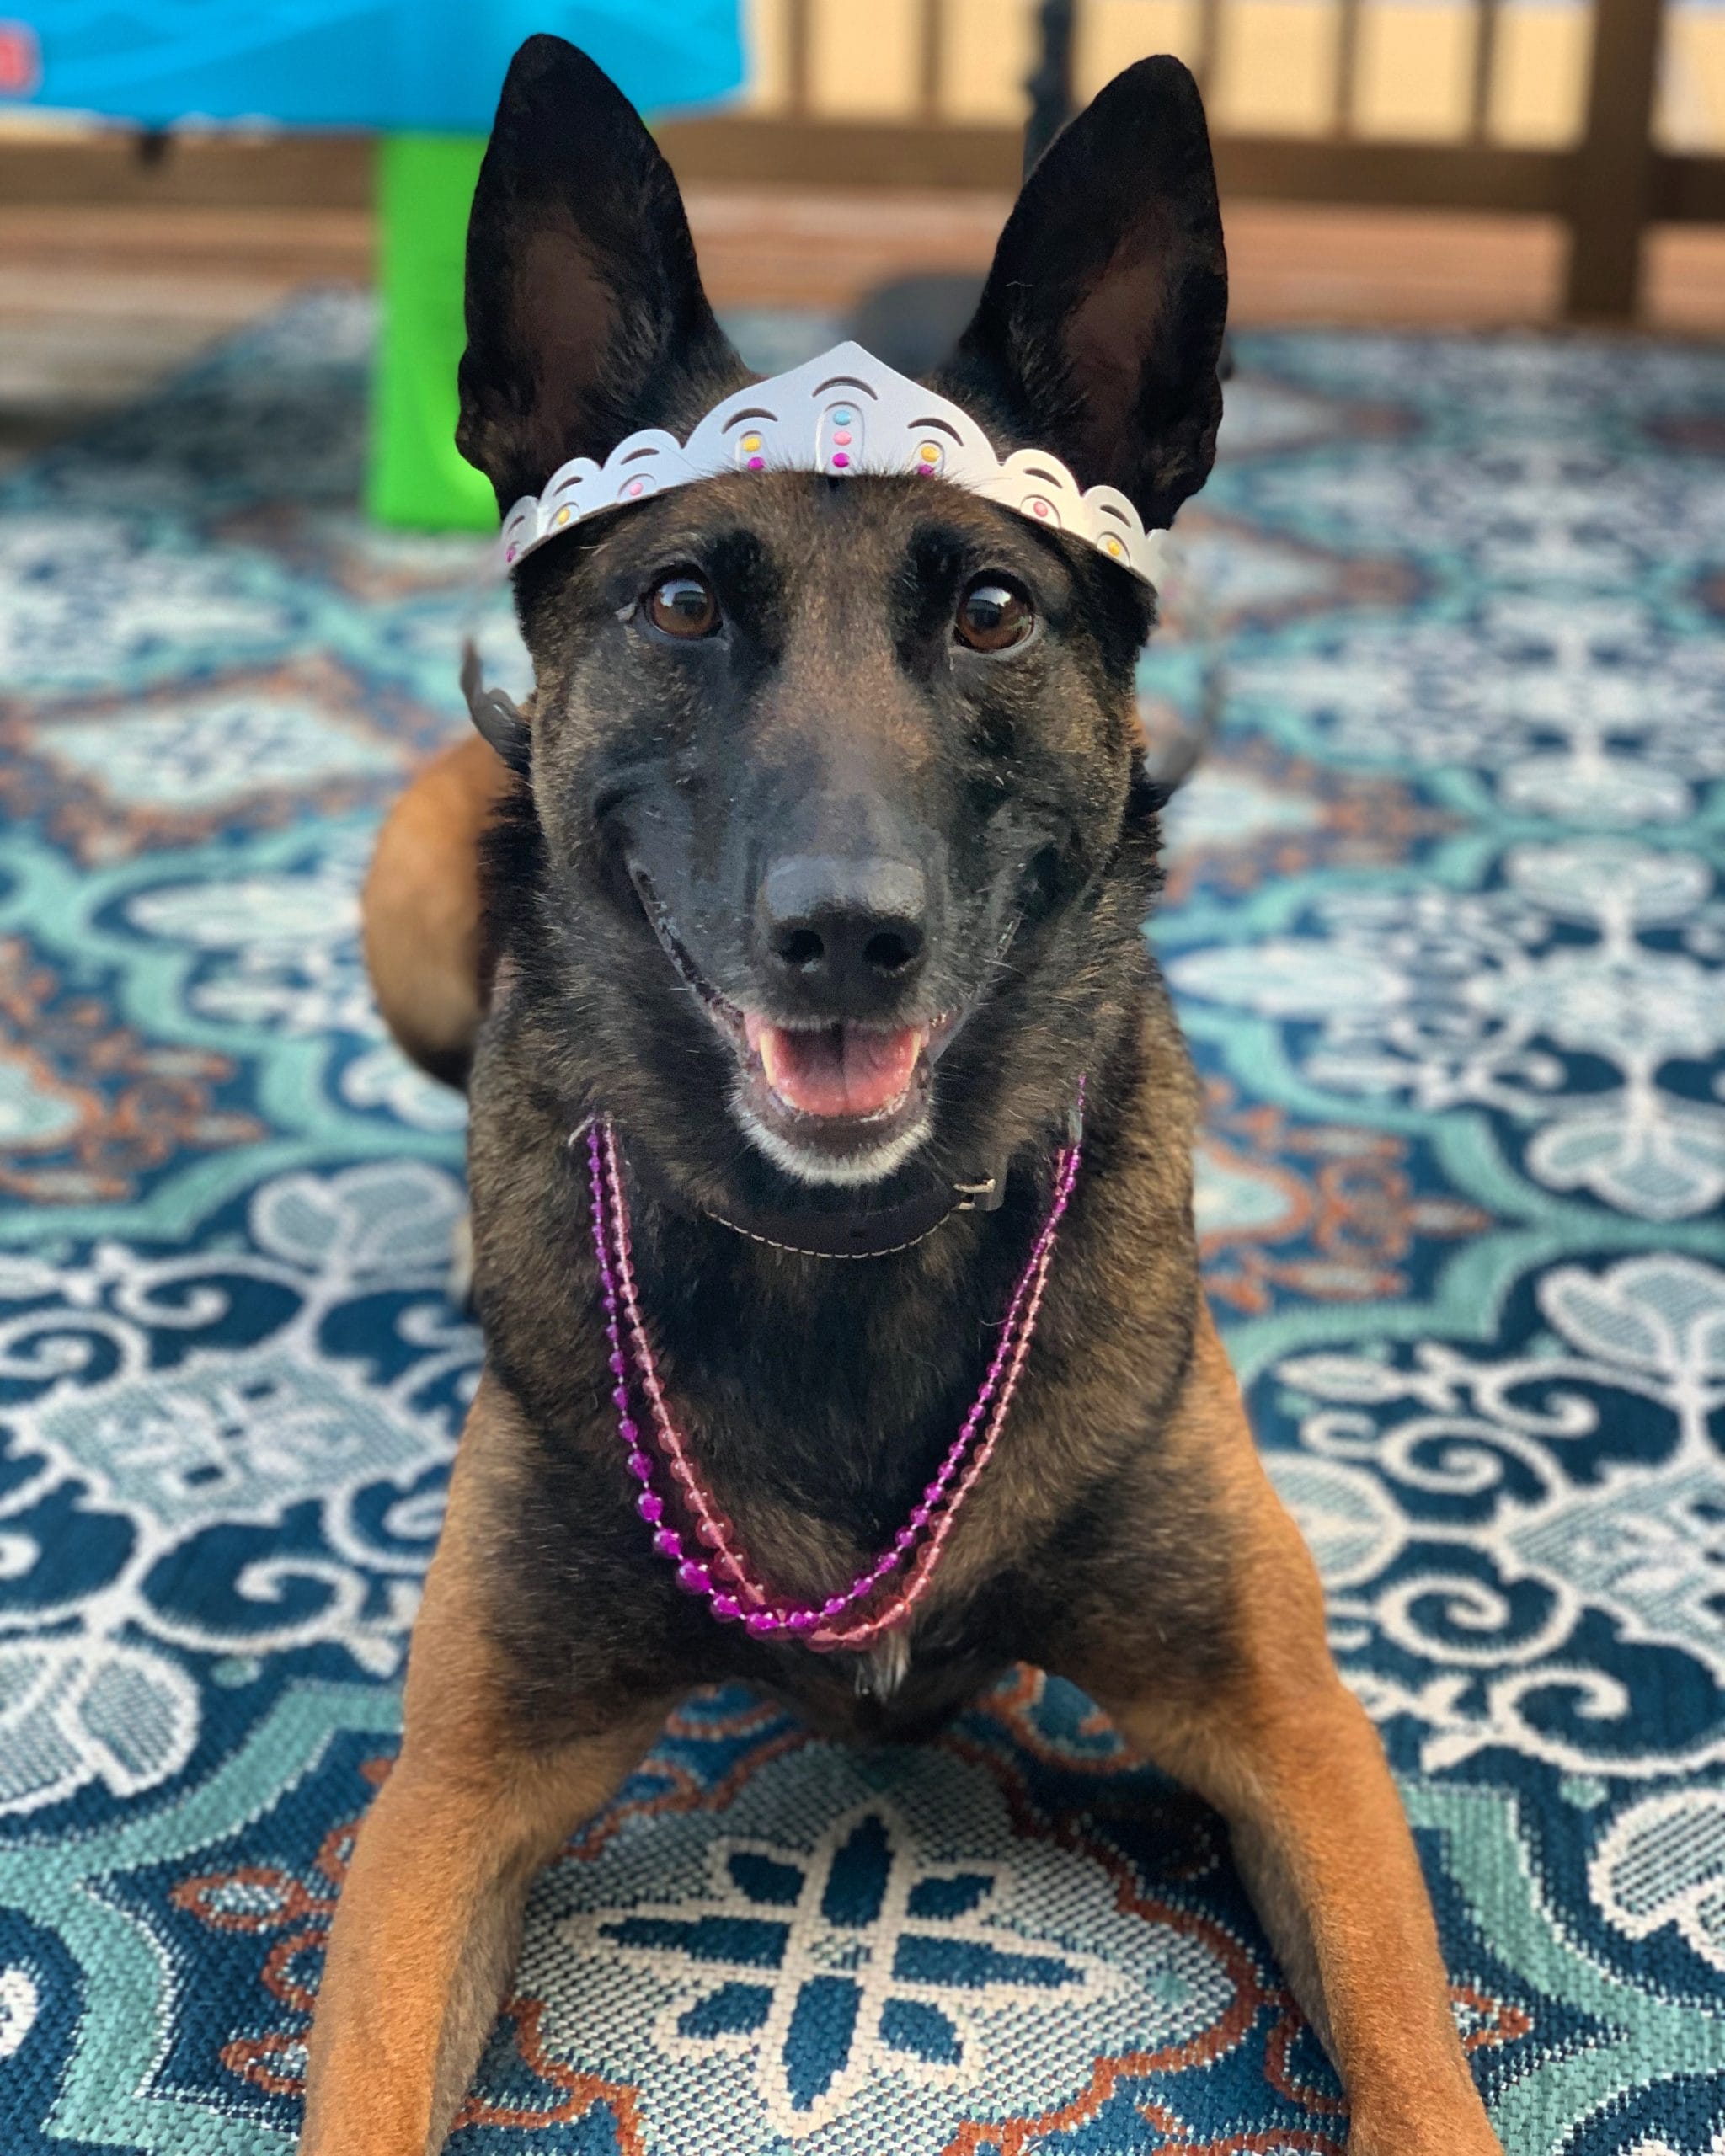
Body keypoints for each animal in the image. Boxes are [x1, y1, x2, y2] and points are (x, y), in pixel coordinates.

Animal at [301, 36, 1503, 2155]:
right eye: (682, 602)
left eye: (994, 612)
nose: (843, 935)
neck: (837, 1253)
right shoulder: (451, 1795)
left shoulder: (1289, 1726)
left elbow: (1417, 2064)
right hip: (411, 899)